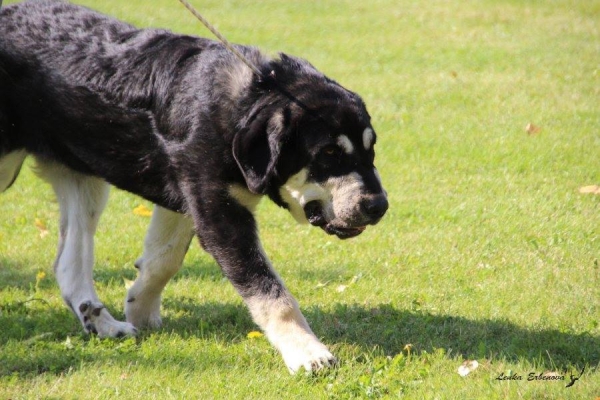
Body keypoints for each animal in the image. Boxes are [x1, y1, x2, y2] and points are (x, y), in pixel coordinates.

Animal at [0, 0, 390, 374]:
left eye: (371, 150)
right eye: (329, 153)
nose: (379, 205)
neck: (243, 106)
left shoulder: (188, 198)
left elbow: (165, 258)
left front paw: (140, 305)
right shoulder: (218, 210)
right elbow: (271, 293)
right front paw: (307, 352)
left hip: (84, 182)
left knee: (69, 265)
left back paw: (104, 324)